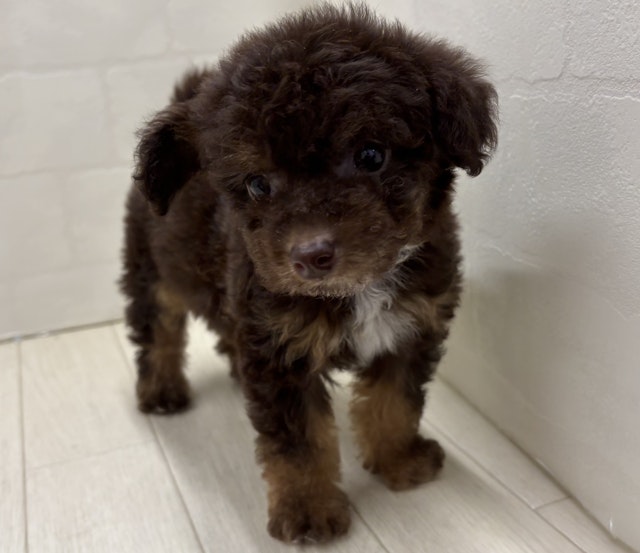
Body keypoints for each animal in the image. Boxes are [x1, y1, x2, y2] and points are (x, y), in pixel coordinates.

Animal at [121, 2, 497, 544]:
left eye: (371, 155)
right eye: (257, 184)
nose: (309, 255)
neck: (358, 289)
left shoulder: (411, 326)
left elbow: (396, 401)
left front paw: (399, 461)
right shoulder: (281, 353)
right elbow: (298, 443)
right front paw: (309, 511)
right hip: (152, 270)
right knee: (158, 329)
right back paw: (161, 391)